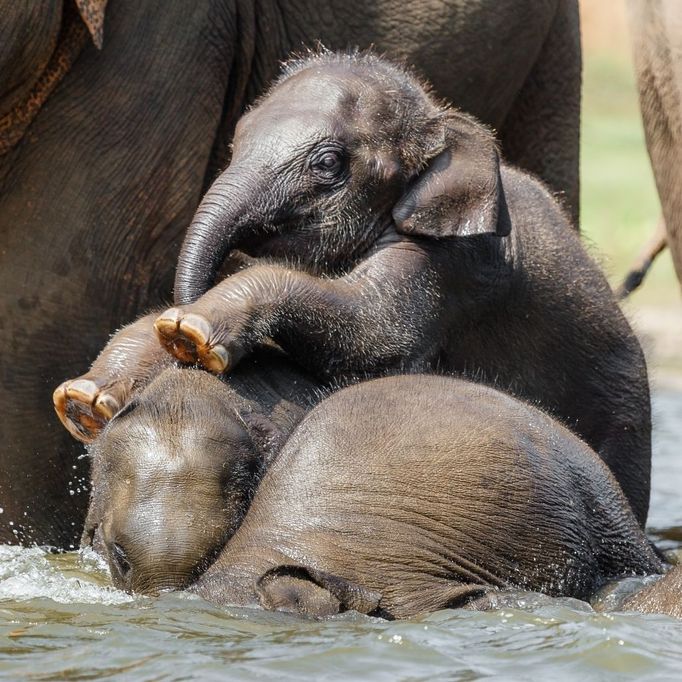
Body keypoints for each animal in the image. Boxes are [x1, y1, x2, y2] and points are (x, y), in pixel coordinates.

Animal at [154, 51, 648, 524]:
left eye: (328, 163)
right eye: (235, 141)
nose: (181, 349)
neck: (435, 117)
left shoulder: (454, 261)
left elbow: (373, 333)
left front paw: (190, 329)